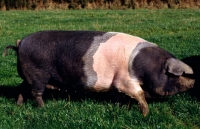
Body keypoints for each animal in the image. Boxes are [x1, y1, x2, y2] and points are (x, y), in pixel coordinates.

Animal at [15, 30, 194, 115]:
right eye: (177, 75)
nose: (193, 81)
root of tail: (20, 42)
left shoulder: (116, 83)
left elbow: (117, 96)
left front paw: (120, 108)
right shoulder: (126, 81)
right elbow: (139, 94)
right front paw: (145, 114)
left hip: (29, 76)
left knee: (22, 88)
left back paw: (19, 105)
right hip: (39, 75)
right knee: (36, 92)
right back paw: (43, 108)